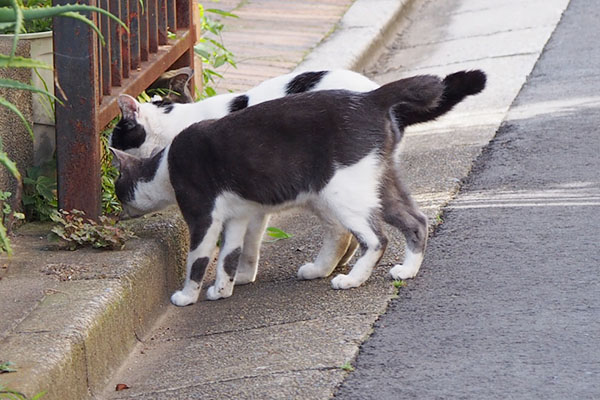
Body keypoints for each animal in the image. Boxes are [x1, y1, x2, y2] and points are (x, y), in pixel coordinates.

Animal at [110, 69, 488, 306]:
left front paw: (198, 292)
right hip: (372, 184)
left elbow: (214, 253)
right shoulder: (246, 207)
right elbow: (240, 247)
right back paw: (395, 269)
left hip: (337, 191)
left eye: (116, 134)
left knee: (367, 236)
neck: (174, 128)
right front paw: (232, 281)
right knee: (413, 221)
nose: (107, 146)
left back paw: (348, 277)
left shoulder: (212, 211)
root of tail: (371, 95)